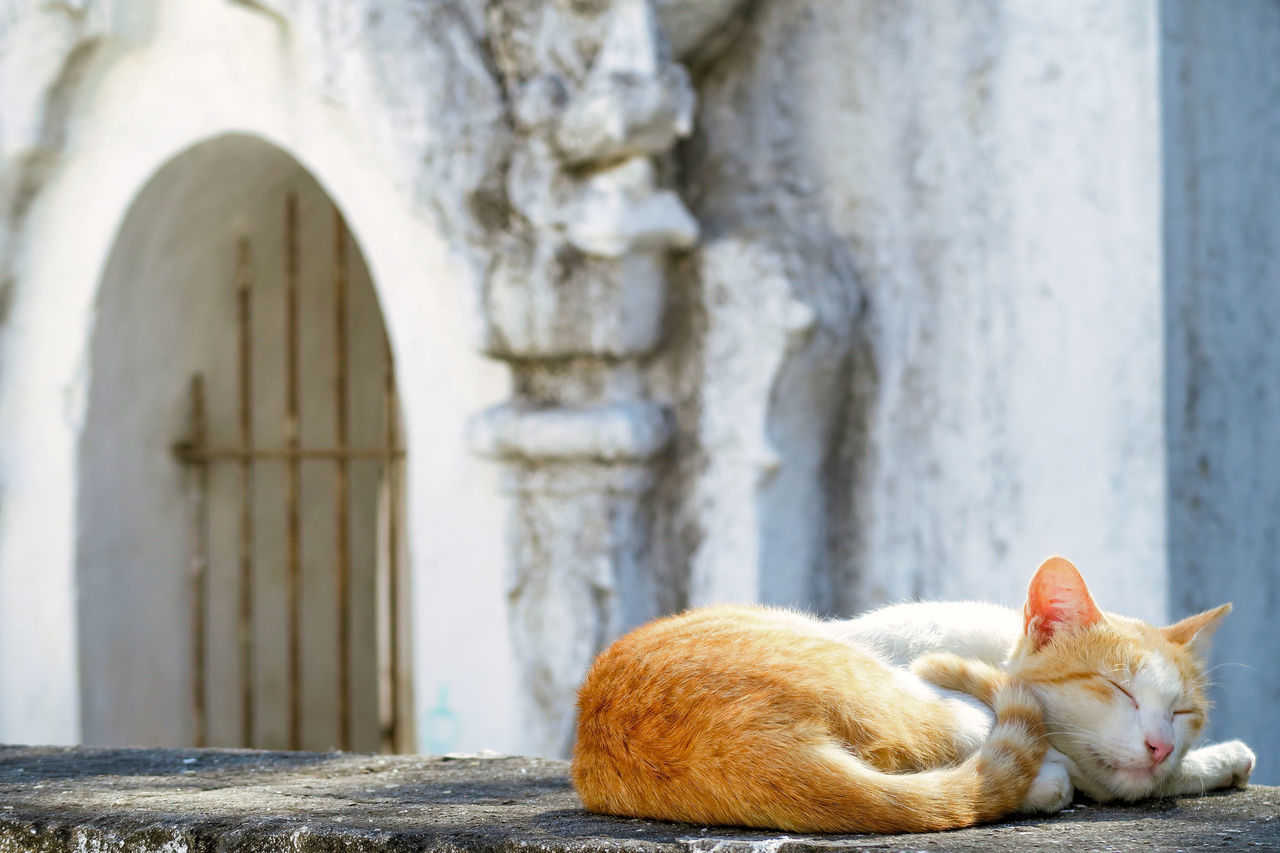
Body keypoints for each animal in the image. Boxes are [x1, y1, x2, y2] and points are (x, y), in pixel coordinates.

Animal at [570, 550, 1249, 829]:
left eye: (1183, 711)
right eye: (1118, 690)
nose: (1161, 744)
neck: (992, 643)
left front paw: (1209, 758)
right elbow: (1104, 777)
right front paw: (1214, 760)